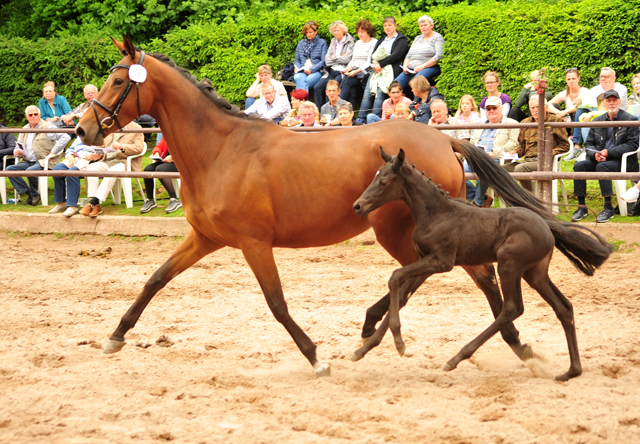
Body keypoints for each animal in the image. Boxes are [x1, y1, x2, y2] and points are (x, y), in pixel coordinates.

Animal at [77, 35, 528, 374]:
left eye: (119, 82)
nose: (83, 129)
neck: (222, 151)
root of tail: (444, 139)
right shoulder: (204, 238)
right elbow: (155, 280)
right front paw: (116, 336)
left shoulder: (254, 243)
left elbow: (276, 303)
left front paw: (315, 358)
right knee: (432, 278)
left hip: (401, 231)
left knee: (452, 277)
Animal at [352, 147, 612, 380]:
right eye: (374, 177)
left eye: (383, 181)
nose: (358, 206)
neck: (436, 213)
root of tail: (547, 226)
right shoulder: (423, 261)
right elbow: (399, 293)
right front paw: (363, 349)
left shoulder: (441, 261)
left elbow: (395, 277)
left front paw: (398, 343)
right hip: (534, 272)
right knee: (563, 307)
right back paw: (571, 371)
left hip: (509, 265)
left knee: (513, 308)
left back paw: (456, 358)